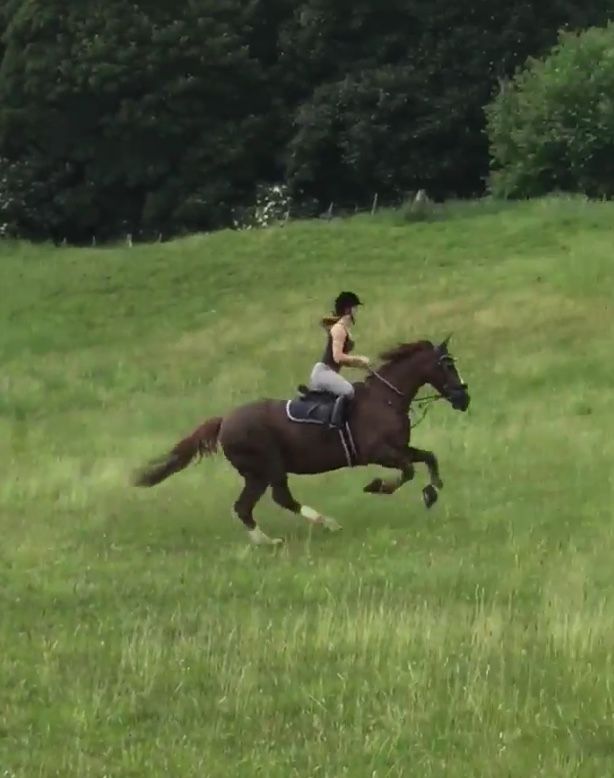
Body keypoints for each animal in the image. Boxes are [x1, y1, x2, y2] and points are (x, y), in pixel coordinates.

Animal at [134, 336, 472, 544]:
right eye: (447, 365)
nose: (464, 398)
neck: (387, 399)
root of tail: (224, 421)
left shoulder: (399, 448)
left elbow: (428, 457)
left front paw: (433, 490)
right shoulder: (380, 452)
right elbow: (408, 471)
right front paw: (378, 486)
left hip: (260, 473)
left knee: (251, 506)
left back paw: (273, 539)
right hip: (266, 468)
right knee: (268, 501)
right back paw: (314, 527)